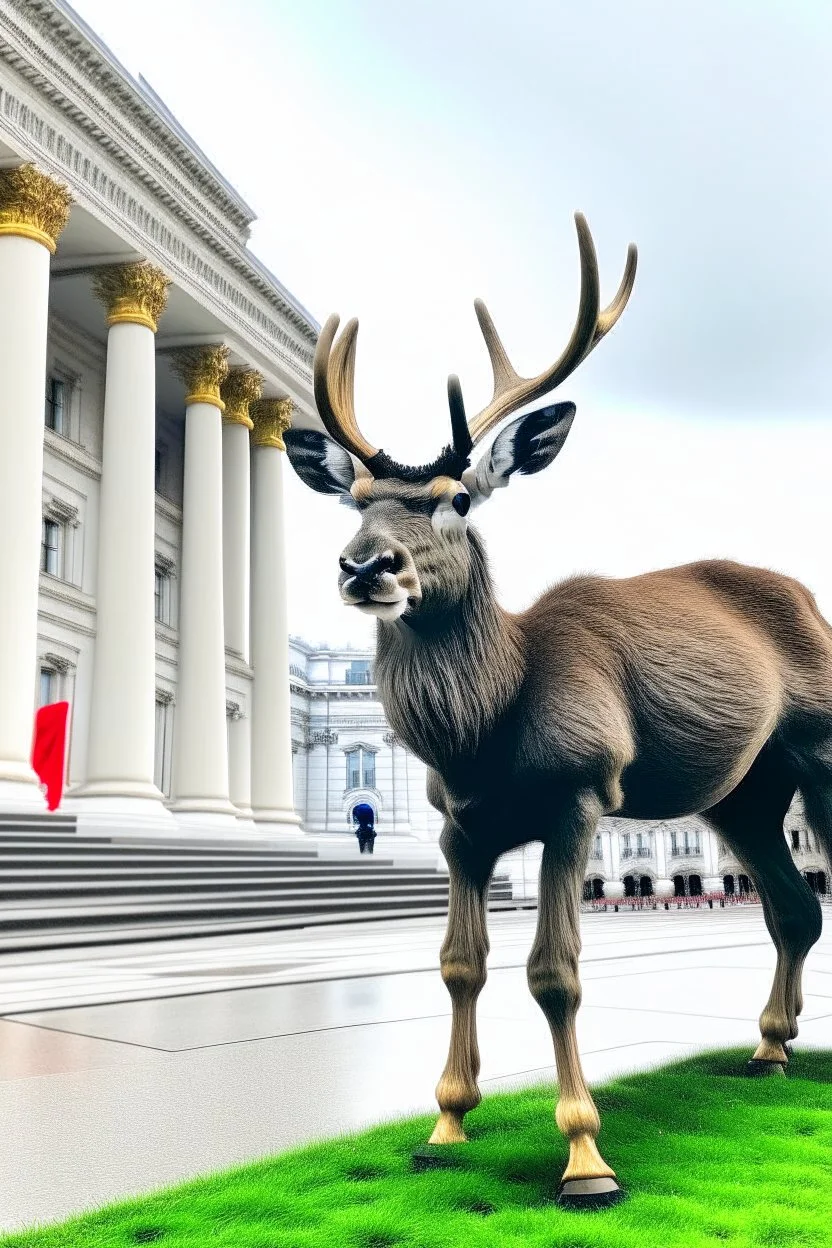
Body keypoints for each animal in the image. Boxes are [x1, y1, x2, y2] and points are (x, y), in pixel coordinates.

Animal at [283, 217, 828, 1208]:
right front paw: (446, 1123)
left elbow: (555, 972)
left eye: (459, 500)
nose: (365, 566)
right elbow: (460, 963)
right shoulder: (459, 827)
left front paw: (585, 1156)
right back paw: (769, 1046)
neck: (484, 726)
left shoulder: (579, 799)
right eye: (356, 499)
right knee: (793, 907)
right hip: (741, 793)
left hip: (821, 747)